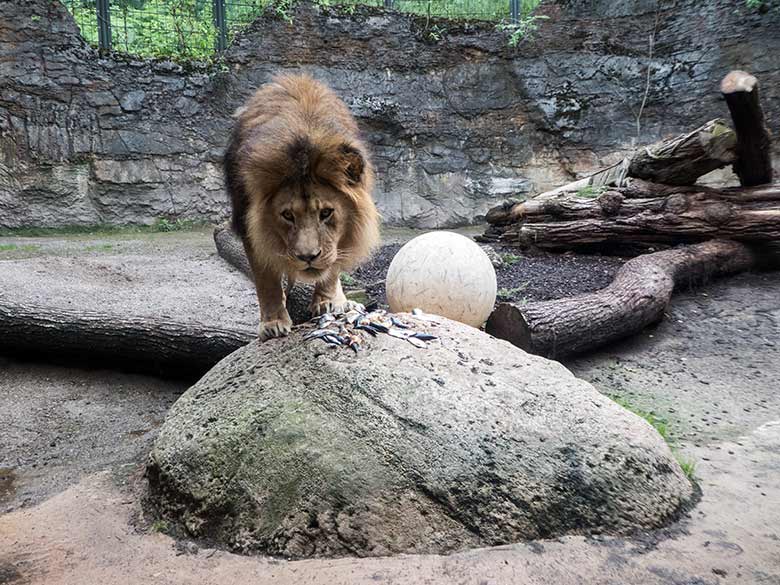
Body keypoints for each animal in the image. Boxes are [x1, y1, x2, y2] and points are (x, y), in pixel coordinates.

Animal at [222, 73, 380, 340]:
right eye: (287, 215)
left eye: (326, 213)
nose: (308, 257)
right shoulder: (250, 227)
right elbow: (266, 280)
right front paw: (273, 322)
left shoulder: (342, 234)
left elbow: (332, 264)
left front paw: (327, 301)